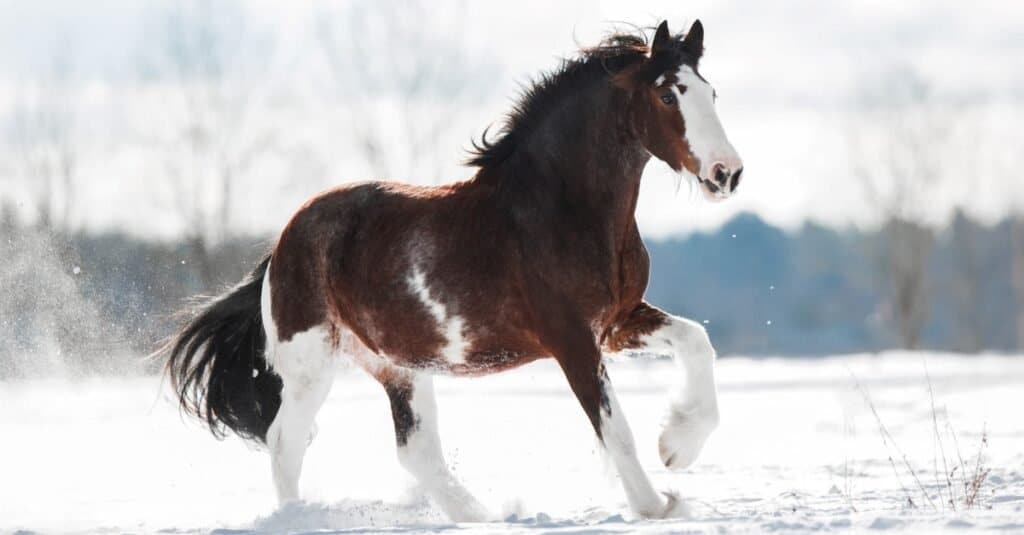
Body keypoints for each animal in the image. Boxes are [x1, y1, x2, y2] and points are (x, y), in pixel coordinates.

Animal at [165, 18, 745, 518]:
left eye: (712, 93)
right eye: (668, 94)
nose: (727, 173)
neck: (560, 208)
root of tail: (280, 247)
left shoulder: (616, 322)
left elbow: (696, 341)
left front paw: (677, 446)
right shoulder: (572, 338)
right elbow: (613, 427)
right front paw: (657, 503)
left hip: (399, 365)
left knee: (415, 450)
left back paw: (485, 516)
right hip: (312, 362)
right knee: (286, 441)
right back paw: (301, 516)